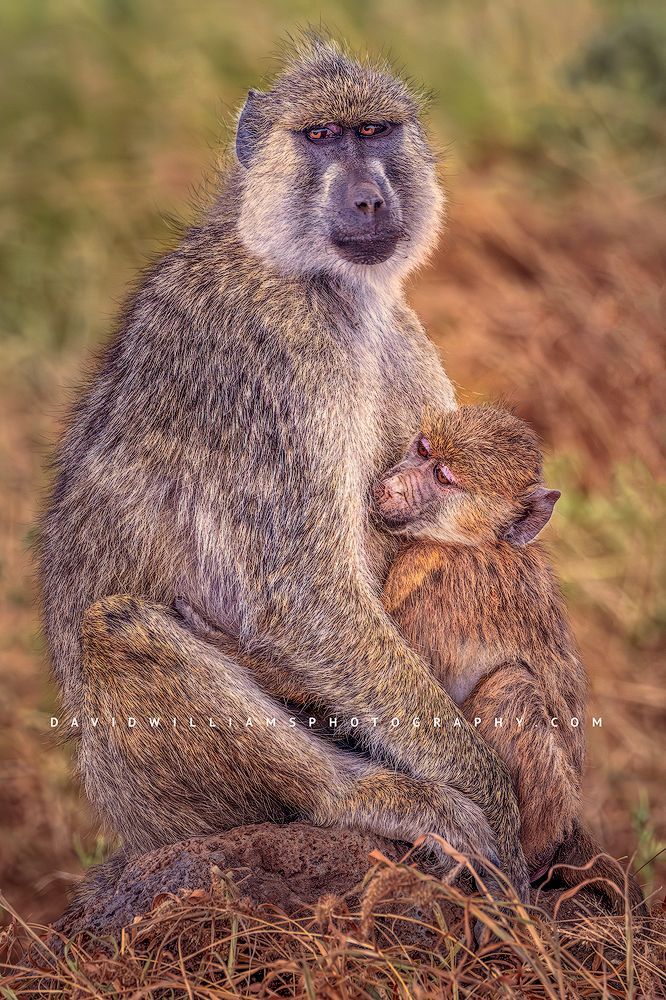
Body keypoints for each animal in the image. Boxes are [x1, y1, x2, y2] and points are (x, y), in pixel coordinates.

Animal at [38, 34, 530, 900]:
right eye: (321, 138)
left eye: (374, 132)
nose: (368, 202)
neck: (317, 282)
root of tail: (123, 826)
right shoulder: (275, 359)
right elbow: (305, 596)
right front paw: (496, 803)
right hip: (153, 794)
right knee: (118, 626)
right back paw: (372, 798)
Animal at [375, 403, 645, 914]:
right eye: (423, 450)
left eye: (442, 477)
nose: (391, 484)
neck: (477, 542)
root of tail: (563, 832)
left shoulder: (424, 573)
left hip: (540, 819)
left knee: (512, 688)